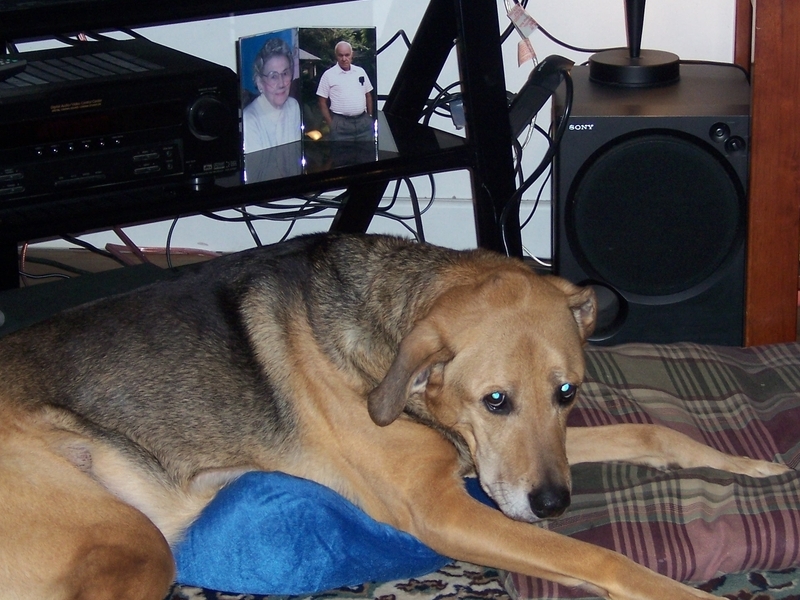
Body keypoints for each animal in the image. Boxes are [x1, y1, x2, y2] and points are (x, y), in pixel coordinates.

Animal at [0, 234, 788, 600]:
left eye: (567, 393)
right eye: (494, 400)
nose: (553, 504)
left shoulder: (502, 468)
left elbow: (650, 429)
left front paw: (750, 463)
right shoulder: (441, 509)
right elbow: (597, 557)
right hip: (128, 537)